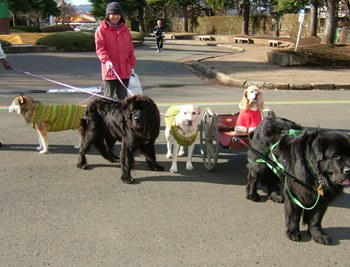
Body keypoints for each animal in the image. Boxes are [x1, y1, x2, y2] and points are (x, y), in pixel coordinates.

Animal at [246, 115, 350, 245]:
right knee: (253, 176)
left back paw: (275, 196)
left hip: (274, 165)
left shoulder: (322, 198)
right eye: (336, 156)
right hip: (260, 161)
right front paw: (293, 233)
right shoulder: (295, 192)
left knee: (272, 178)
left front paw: (318, 235)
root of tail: (266, 118)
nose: (349, 170)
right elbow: (294, 215)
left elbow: (316, 218)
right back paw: (252, 195)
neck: (313, 173)